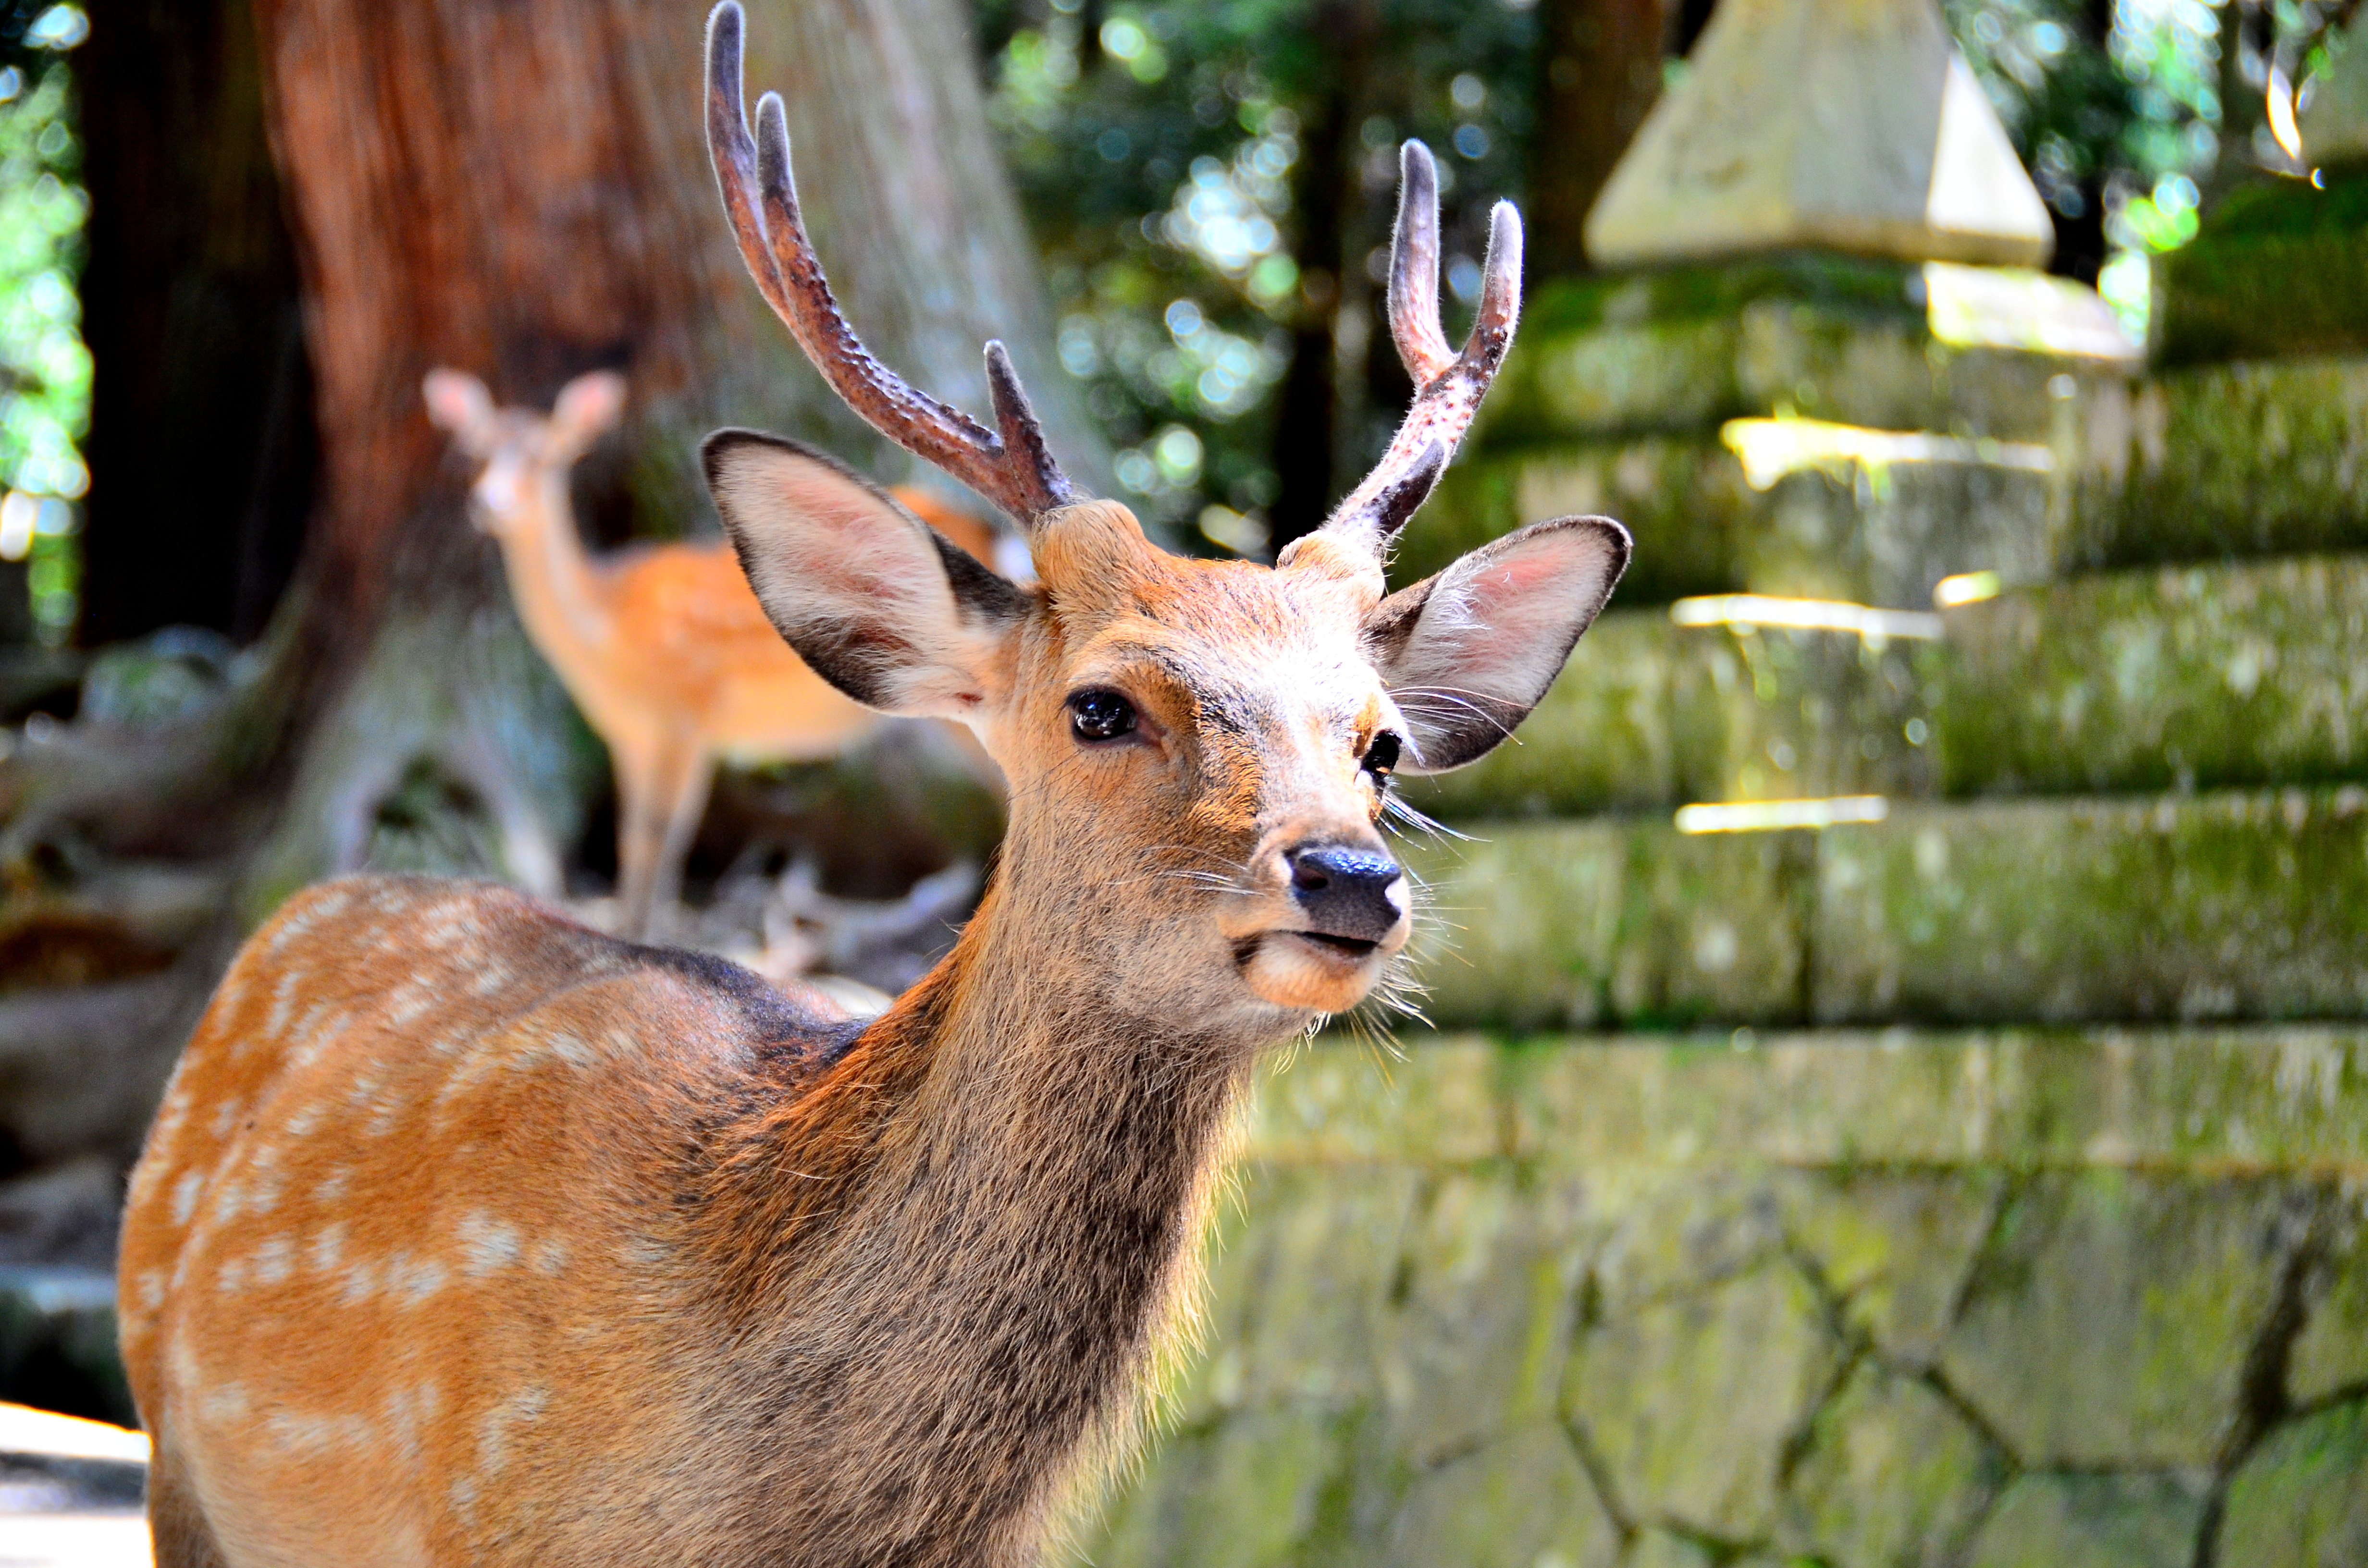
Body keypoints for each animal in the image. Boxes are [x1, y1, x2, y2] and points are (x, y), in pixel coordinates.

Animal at [419, 360, 1009, 938]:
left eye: (547, 455)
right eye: (475, 451)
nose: (490, 503)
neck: (604, 631)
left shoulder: (682, 714)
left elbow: (662, 838)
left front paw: (644, 936)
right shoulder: (629, 733)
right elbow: (633, 839)